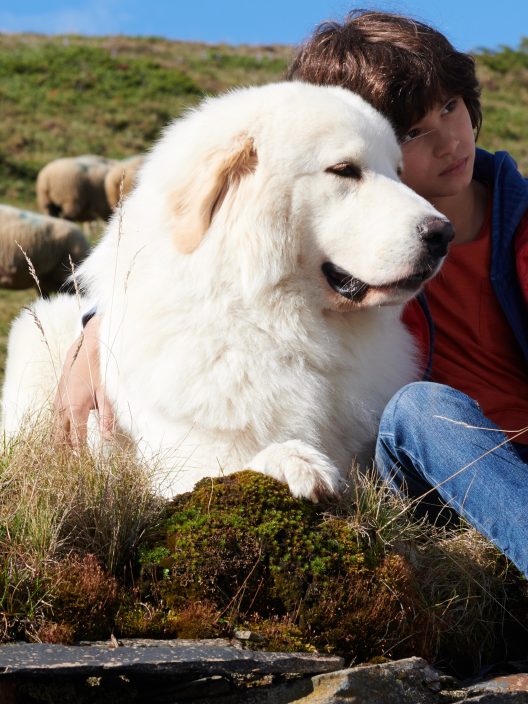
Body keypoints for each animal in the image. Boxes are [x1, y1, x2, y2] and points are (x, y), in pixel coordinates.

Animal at [2, 82, 452, 500]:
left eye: (399, 171)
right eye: (344, 170)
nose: (443, 233)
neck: (277, 327)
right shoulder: (182, 463)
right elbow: (237, 464)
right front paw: (295, 462)